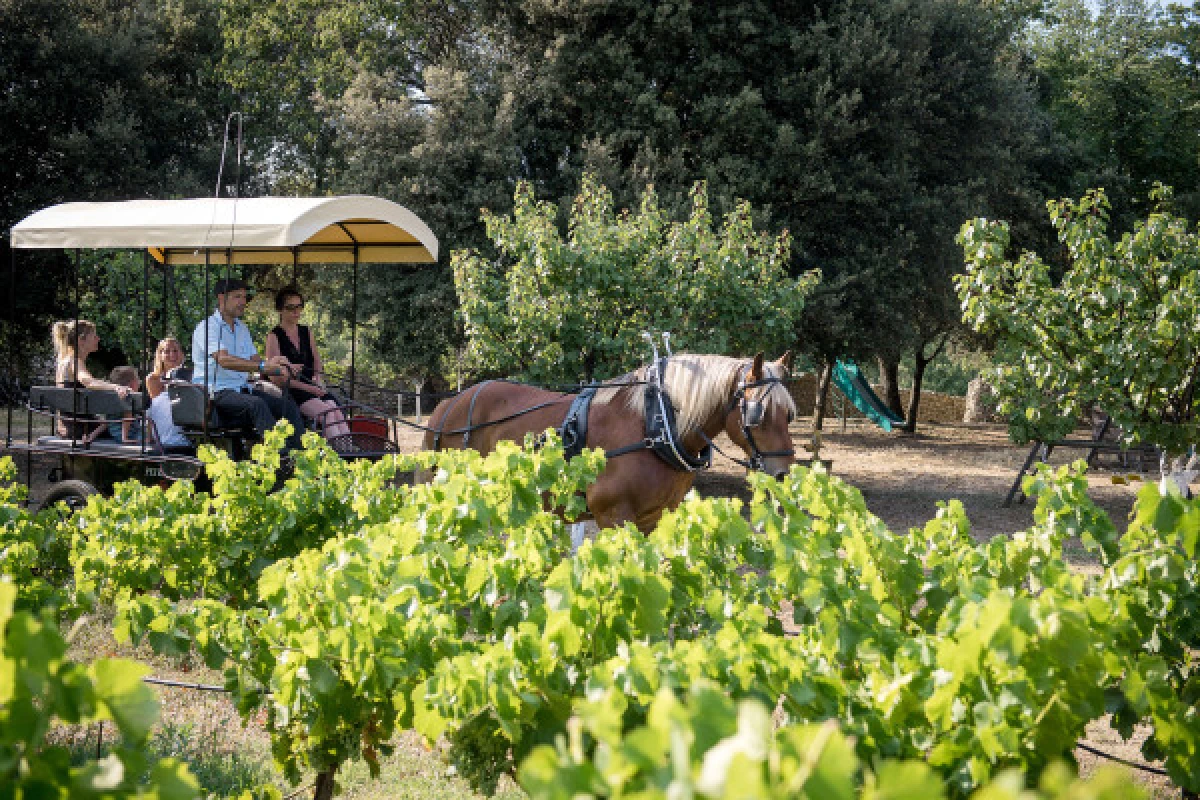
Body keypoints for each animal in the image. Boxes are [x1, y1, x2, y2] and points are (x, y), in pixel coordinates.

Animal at [422, 352, 796, 534]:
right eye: (758, 414)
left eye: (789, 415)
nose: (781, 474)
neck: (655, 426)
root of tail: (450, 403)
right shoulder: (614, 516)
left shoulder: (653, 517)